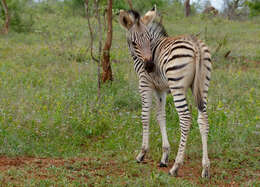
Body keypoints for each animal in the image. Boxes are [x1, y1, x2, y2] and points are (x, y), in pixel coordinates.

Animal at [119, 6, 212, 178]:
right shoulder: (161, 90)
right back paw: (205, 168)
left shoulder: (145, 84)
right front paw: (164, 156)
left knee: (185, 119)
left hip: (177, 86)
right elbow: (160, 116)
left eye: (149, 39)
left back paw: (176, 166)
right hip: (203, 86)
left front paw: (142, 153)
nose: (150, 66)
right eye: (134, 42)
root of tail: (195, 43)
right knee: (203, 119)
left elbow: (145, 116)